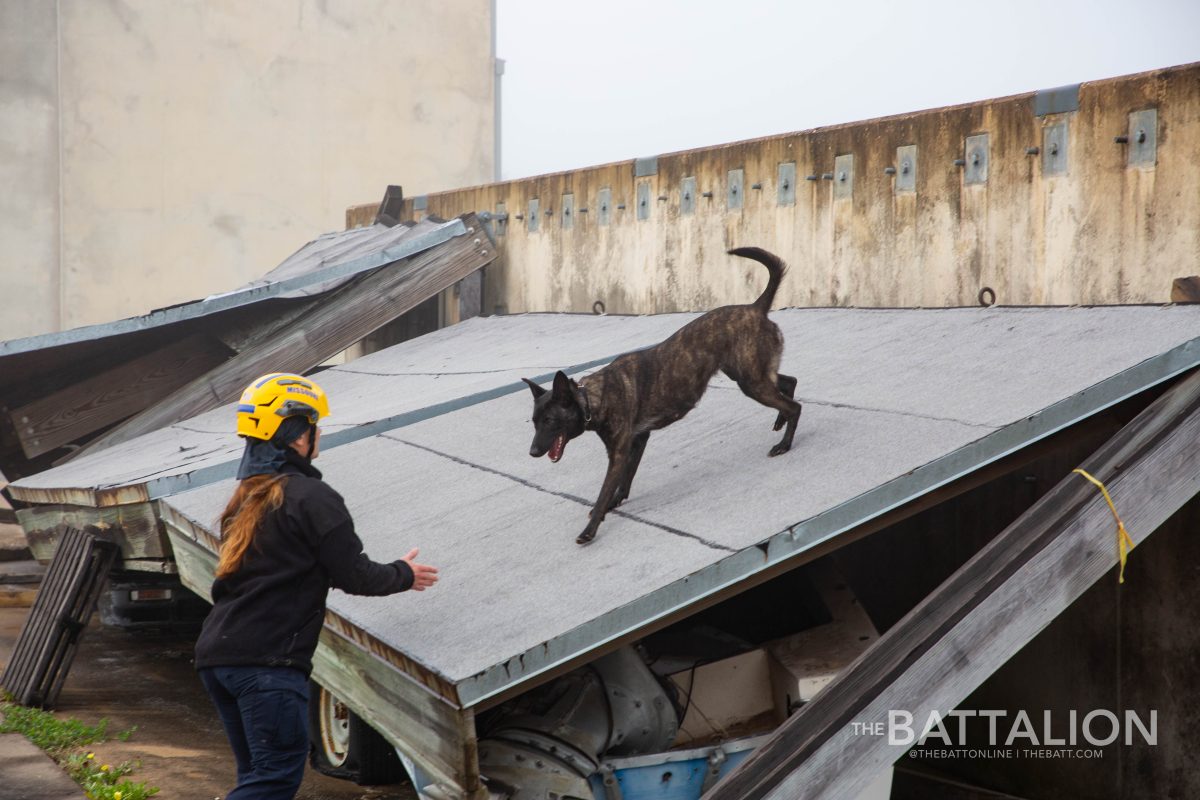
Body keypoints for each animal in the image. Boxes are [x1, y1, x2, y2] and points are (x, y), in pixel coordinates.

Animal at [520, 247, 801, 546]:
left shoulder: (618, 453)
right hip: (750, 375)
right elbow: (625, 481)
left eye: (549, 421)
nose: (532, 452)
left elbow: (604, 491)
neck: (591, 398)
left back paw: (785, 443)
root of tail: (755, 307)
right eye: (534, 422)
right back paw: (780, 421)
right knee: (789, 383)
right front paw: (615, 503)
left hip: (751, 382)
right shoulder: (637, 441)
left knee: (795, 406)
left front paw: (591, 528)